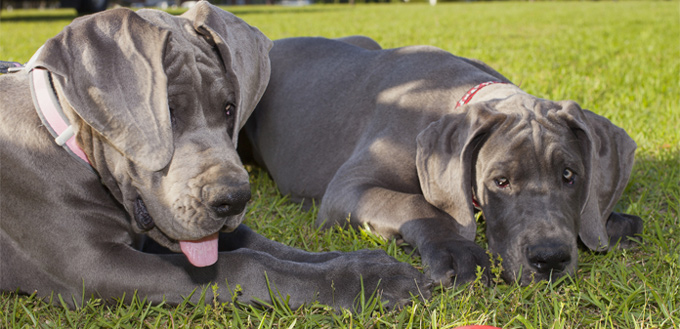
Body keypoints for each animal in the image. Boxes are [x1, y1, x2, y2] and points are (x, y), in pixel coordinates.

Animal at [0, 7, 428, 310]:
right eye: (167, 113)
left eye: (229, 109)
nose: (234, 199)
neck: (60, 135)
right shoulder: (91, 266)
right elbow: (244, 263)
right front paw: (362, 284)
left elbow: (267, 246)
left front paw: (369, 265)